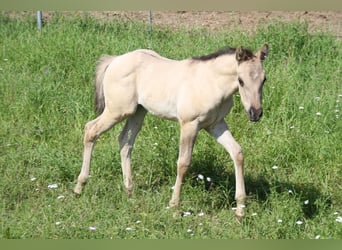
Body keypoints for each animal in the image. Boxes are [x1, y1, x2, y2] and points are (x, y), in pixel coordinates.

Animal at [73, 45, 268, 221]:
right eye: (241, 80)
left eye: (264, 80)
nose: (255, 113)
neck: (210, 82)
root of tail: (115, 60)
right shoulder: (189, 125)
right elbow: (183, 163)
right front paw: (174, 207)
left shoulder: (216, 125)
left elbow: (237, 153)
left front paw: (240, 210)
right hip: (117, 111)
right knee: (90, 130)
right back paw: (79, 187)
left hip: (137, 112)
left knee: (124, 142)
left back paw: (129, 191)